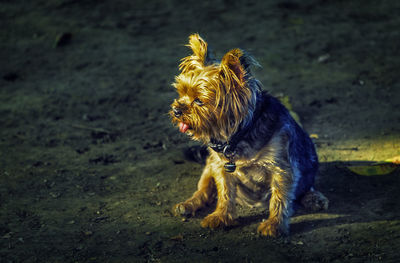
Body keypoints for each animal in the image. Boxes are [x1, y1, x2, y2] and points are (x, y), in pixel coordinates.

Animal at [169, 34, 328, 238]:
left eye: (199, 101)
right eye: (181, 93)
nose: (176, 110)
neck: (238, 136)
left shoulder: (282, 169)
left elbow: (279, 198)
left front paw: (274, 225)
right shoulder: (220, 167)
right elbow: (225, 193)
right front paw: (221, 216)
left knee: (306, 186)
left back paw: (313, 198)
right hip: (209, 166)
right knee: (204, 190)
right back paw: (188, 204)